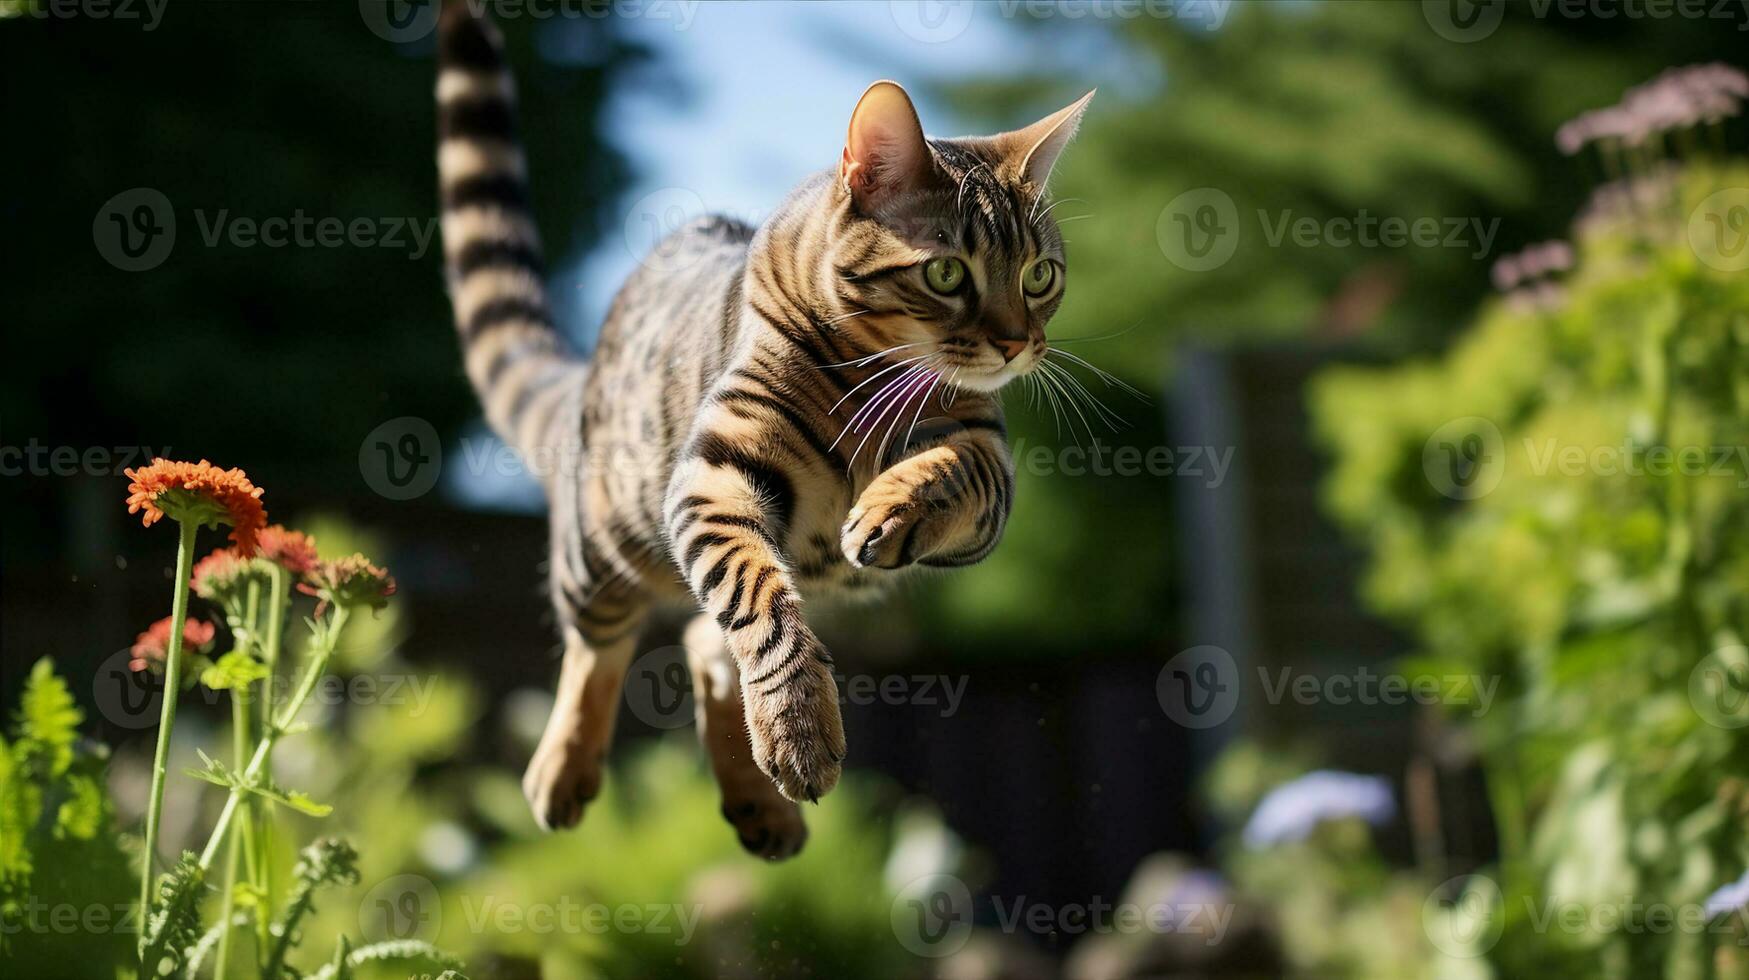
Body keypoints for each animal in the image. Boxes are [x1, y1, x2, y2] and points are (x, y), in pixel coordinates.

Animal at [437, 1, 1091, 857]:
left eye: (1039, 277)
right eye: (947, 273)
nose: (1018, 343)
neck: (868, 378)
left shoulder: (987, 462)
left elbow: (954, 470)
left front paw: (892, 508)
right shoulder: (714, 475)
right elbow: (756, 598)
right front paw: (799, 730)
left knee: (702, 648)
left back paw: (759, 810)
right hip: (600, 547)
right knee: (602, 644)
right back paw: (563, 771)